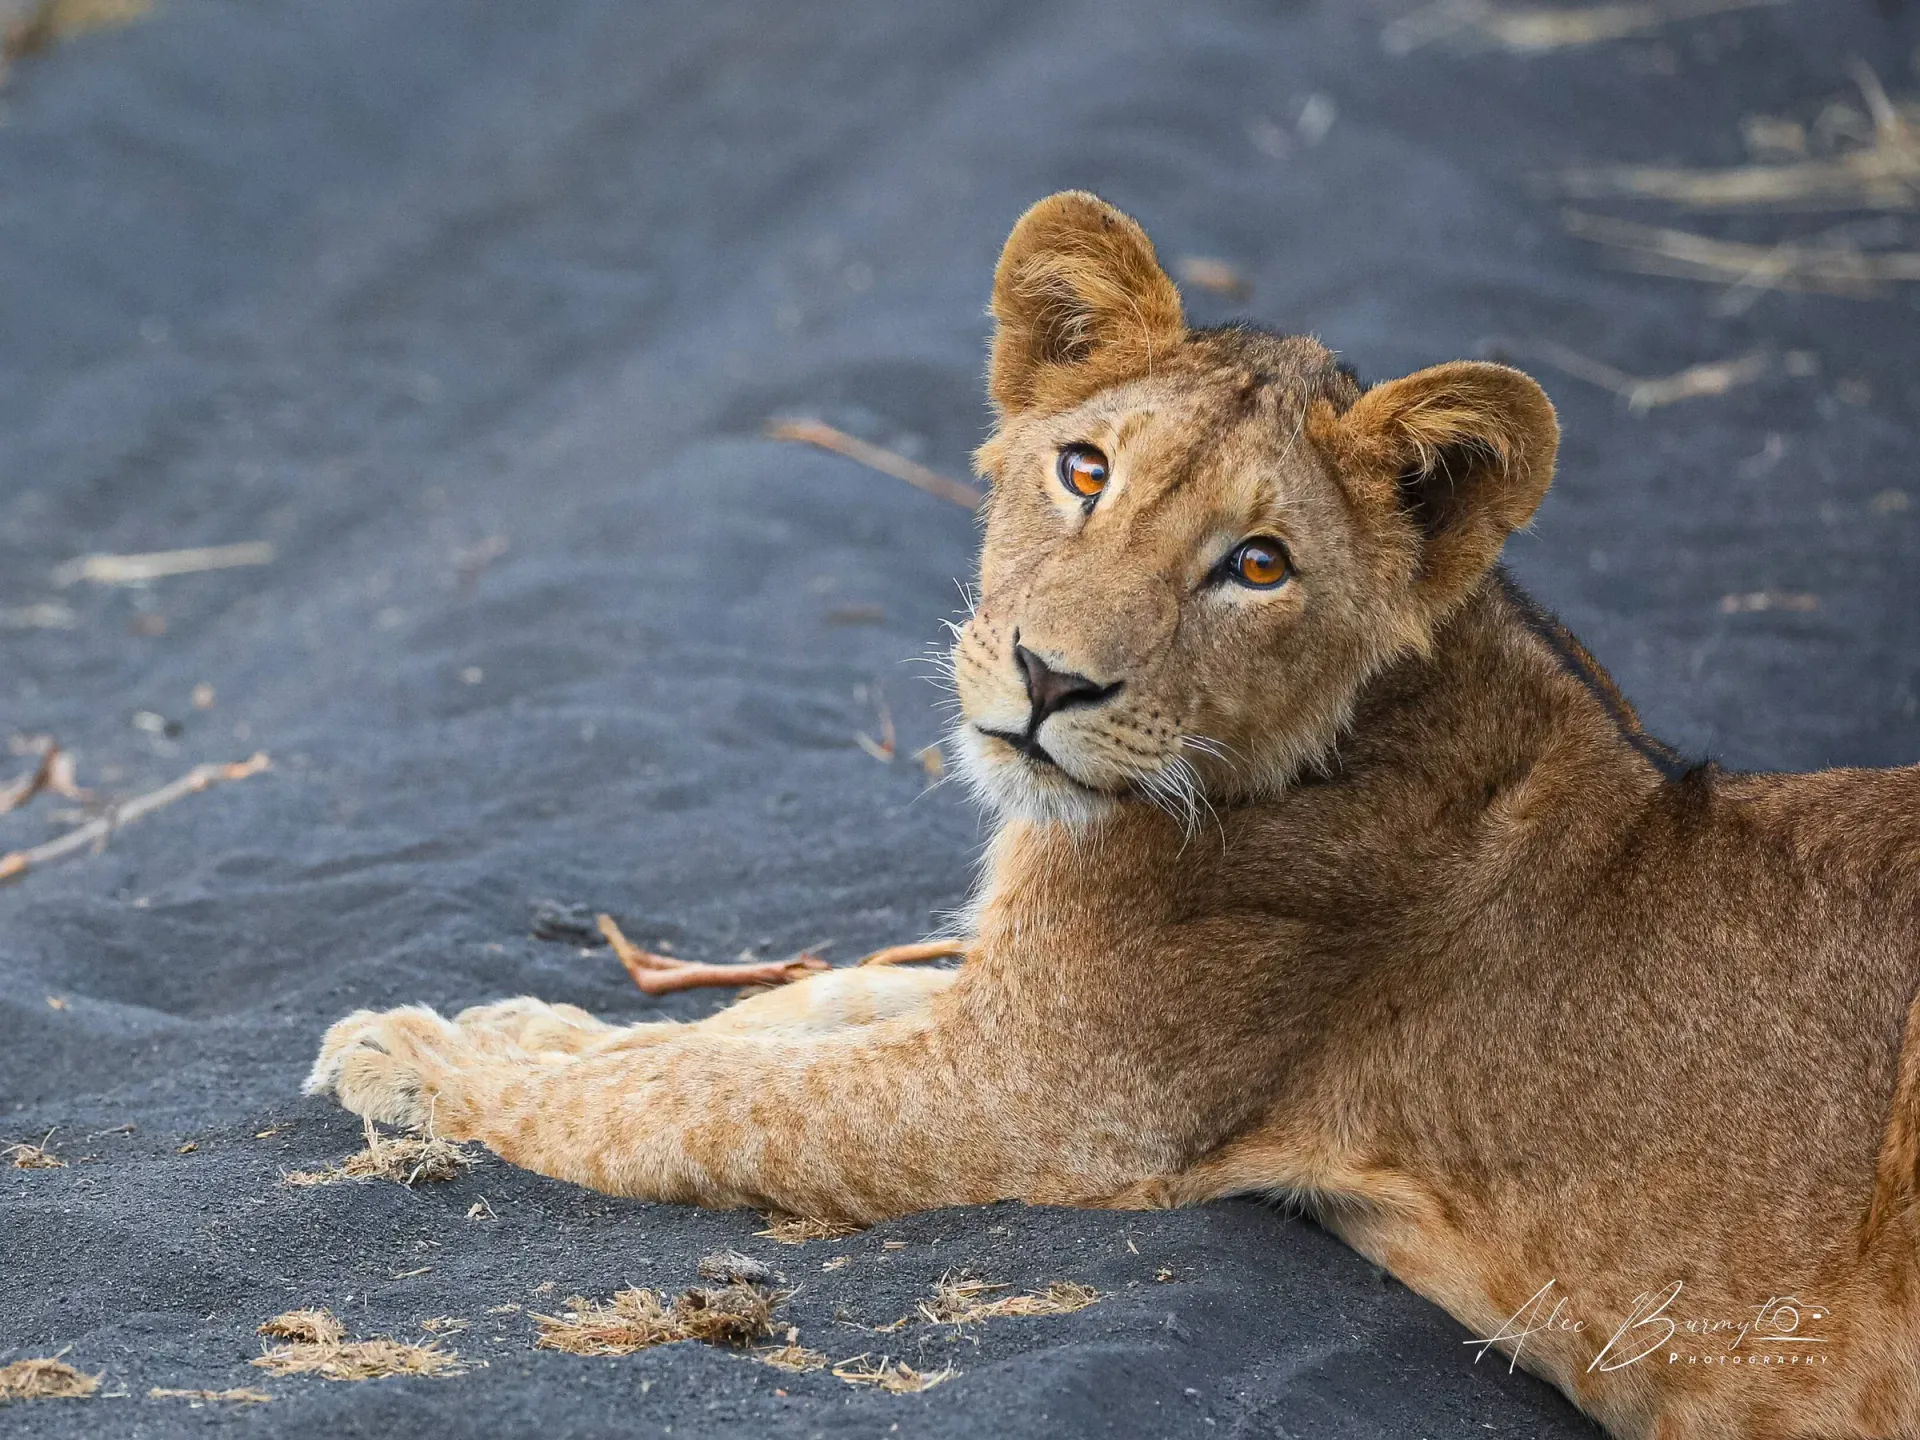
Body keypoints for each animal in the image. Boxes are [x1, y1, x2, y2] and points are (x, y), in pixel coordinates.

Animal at [305, 192, 1920, 1439]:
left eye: (1259, 564)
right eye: (1084, 470)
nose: (1048, 678)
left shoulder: (1041, 1100)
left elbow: (697, 1100)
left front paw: (420, 1064)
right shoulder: (1011, 1003)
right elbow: (782, 1011)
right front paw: (513, 1021)